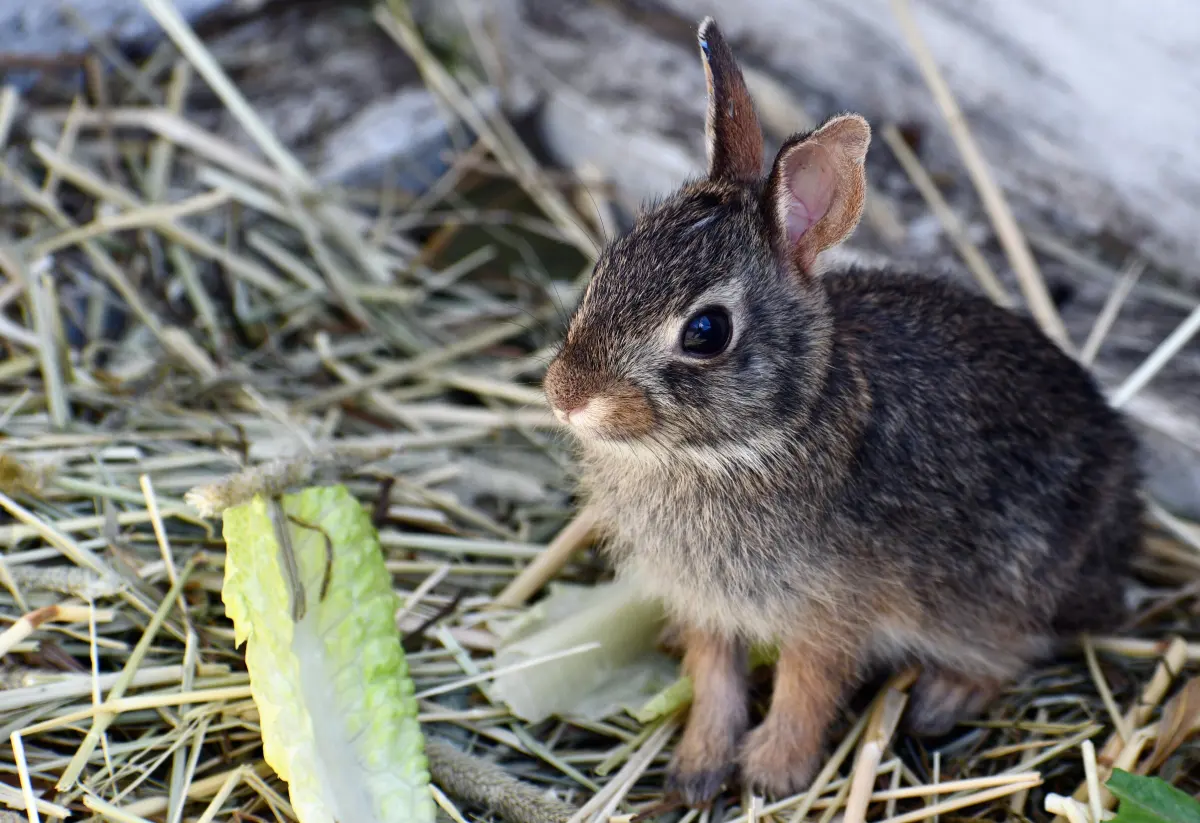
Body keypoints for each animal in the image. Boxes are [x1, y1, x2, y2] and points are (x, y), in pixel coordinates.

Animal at [542, 16, 1142, 805]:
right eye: (606, 267)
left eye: (706, 332)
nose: (566, 395)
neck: (754, 440)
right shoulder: (709, 607)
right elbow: (714, 679)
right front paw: (698, 769)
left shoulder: (827, 613)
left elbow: (807, 686)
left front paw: (773, 772)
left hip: (995, 589)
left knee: (1012, 649)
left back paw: (941, 699)